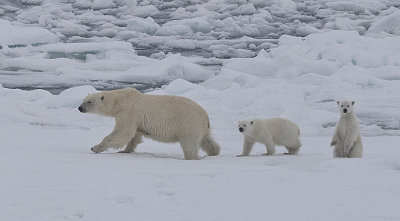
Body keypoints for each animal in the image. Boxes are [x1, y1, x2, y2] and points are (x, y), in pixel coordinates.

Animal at [77, 87, 222, 160]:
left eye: (89, 101)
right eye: (83, 100)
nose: (79, 108)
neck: (120, 101)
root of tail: (205, 116)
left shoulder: (128, 112)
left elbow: (123, 132)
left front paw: (95, 147)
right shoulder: (136, 119)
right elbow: (134, 136)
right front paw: (125, 151)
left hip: (188, 124)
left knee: (189, 144)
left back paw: (190, 158)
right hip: (200, 127)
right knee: (207, 141)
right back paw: (214, 152)